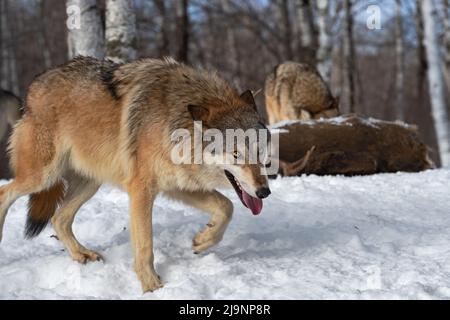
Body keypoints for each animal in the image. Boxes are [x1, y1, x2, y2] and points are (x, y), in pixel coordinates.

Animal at [0, 57, 270, 292]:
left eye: (260, 150)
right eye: (236, 154)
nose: (264, 192)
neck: (174, 120)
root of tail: (33, 87)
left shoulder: (177, 186)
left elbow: (226, 207)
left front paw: (204, 240)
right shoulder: (141, 189)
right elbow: (145, 245)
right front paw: (152, 286)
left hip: (90, 184)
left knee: (59, 219)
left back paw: (81, 254)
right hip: (42, 177)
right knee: (5, 193)